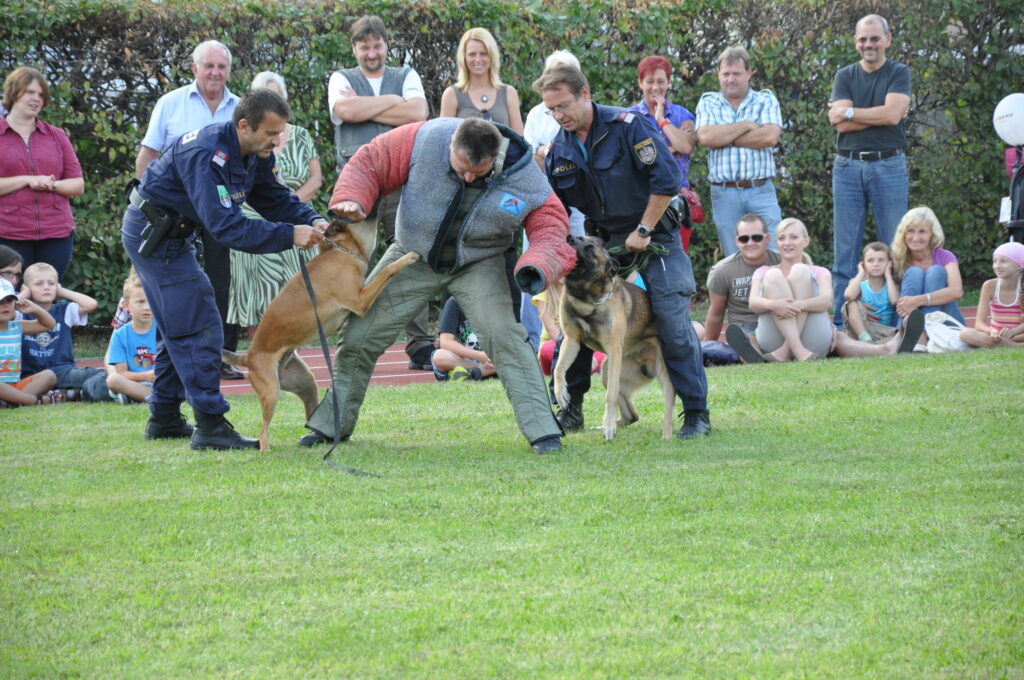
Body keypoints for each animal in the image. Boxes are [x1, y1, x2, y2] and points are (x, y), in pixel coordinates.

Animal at [222, 219, 417, 450]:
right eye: (357, 220)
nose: (373, 215)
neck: (340, 252)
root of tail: (248, 357)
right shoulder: (360, 301)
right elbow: (387, 270)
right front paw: (408, 257)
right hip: (271, 393)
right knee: (263, 431)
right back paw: (266, 450)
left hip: (306, 384)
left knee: (310, 412)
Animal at [552, 236, 679, 440]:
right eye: (575, 238)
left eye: (589, 247)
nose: (569, 238)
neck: (587, 299)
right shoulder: (571, 341)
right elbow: (559, 369)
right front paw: (561, 393)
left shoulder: (613, 349)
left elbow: (609, 396)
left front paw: (609, 425)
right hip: (607, 370)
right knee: (632, 416)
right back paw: (605, 425)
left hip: (659, 372)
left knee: (668, 401)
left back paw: (666, 434)